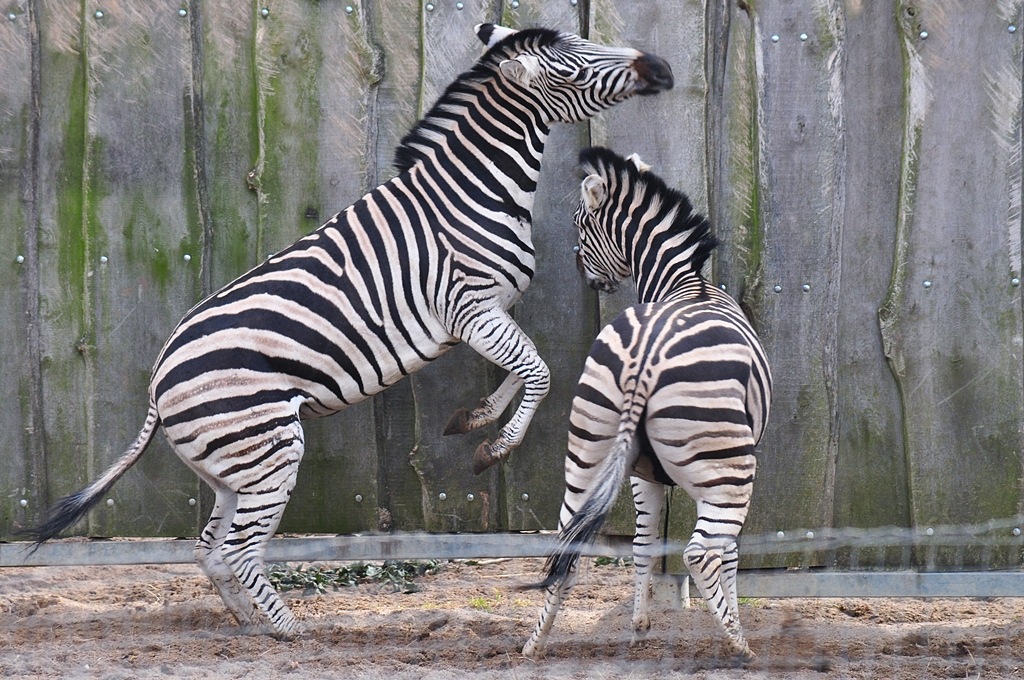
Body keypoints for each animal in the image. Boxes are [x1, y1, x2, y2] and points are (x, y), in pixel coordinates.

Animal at [23, 27, 673, 639]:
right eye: (577, 65)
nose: (660, 66)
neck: (474, 192)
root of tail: (157, 383)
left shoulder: (487, 310)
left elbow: (521, 371)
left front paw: (477, 419)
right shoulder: (468, 308)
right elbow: (538, 370)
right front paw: (497, 446)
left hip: (232, 467)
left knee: (211, 552)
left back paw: (255, 627)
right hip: (269, 451)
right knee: (237, 551)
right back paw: (293, 633)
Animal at [521, 147, 772, 661]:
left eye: (578, 225)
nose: (584, 275)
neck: (685, 283)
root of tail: (647, 352)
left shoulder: (641, 475)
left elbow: (643, 543)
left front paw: (639, 625)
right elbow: (731, 553)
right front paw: (735, 622)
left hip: (587, 449)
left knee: (566, 540)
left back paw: (534, 644)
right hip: (731, 468)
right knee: (704, 552)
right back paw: (739, 646)